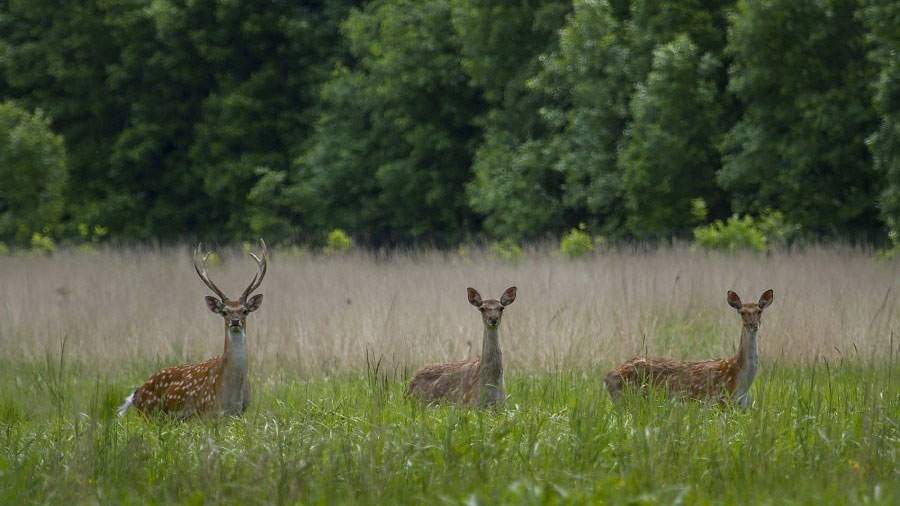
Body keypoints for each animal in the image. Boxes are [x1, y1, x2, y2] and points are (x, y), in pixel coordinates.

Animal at [114, 241, 268, 420]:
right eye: (224, 312)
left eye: (245, 310)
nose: (235, 321)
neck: (232, 395)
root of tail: (135, 394)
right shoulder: (206, 412)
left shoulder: (239, 413)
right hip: (149, 414)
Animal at [604, 288, 772, 408]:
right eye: (742, 312)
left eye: (759, 311)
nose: (753, 325)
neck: (740, 377)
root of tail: (607, 377)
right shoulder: (719, 400)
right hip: (627, 398)